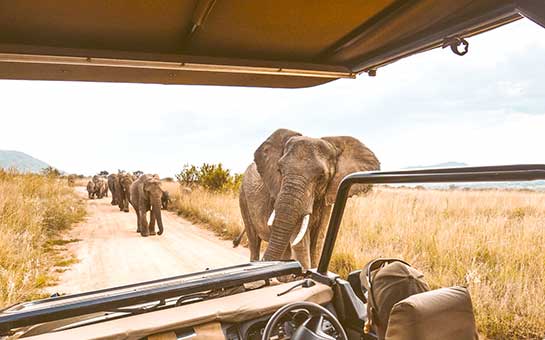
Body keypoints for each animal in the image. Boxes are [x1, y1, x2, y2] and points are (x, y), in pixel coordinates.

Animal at [236, 129, 380, 270]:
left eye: (321, 176)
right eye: (279, 170)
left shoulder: (326, 198)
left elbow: (317, 241)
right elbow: (300, 243)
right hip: (243, 197)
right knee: (254, 242)